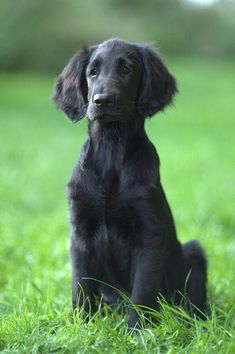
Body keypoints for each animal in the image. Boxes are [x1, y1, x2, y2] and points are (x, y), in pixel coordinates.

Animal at [53, 39, 207, 330]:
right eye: (92, 72)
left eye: (127, 70)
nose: (102, 100)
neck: (111, 145)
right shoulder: (80, 231)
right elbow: (81, 285)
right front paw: (81, 326)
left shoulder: (149, 234)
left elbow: (143, 290)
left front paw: (137, 330)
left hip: (194, 253)